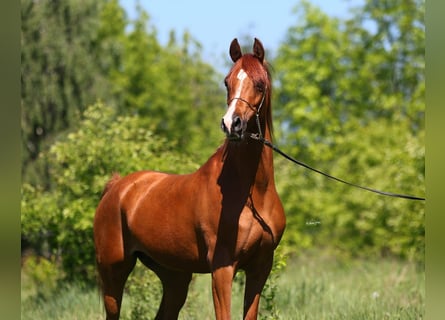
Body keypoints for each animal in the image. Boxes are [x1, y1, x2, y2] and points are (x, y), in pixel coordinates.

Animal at [93, 38, 284, 320]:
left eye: (260, 84)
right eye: (227, 81)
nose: (232, 124)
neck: (252, 194)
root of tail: (116, 187)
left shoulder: (260, 268)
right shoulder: (222, 269)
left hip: (175, 276)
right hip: (113, 272)